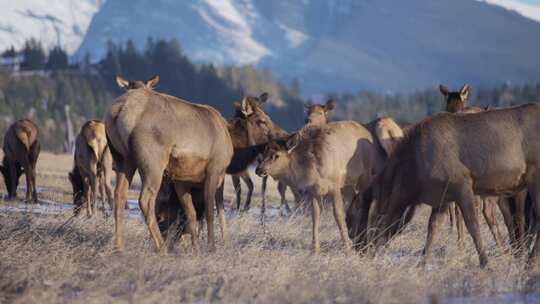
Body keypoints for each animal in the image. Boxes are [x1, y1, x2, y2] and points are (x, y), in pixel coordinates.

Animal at [105, 75, 232, 252]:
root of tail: (119, 111)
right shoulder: (215, 170)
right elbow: (211, 212)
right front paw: (212, 247)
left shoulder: (181, 180)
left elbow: (192, 214)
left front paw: (196, 248)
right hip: (153, 162)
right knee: (145, 200)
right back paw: (162, 248)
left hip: (123, 158)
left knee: (119, 195)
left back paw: (119, 246)